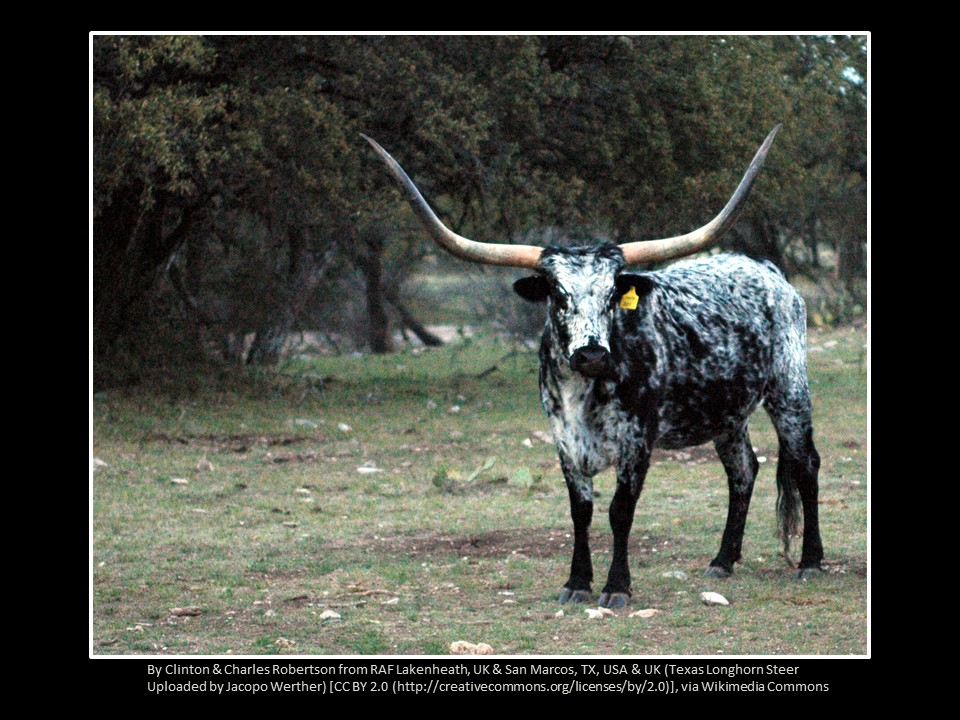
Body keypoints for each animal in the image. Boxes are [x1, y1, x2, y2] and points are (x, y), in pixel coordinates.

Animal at [363, 126, 823, 608]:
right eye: (557, 292)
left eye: (611, 294)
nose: (591, 354)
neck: (584, 391)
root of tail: (765, 267)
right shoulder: (564, 441)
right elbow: (580, 511)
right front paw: (577, 582)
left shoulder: (637, 442)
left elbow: (620, 511)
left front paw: (616, 586)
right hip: (726, 414)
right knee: (743, 471)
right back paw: (723, 560)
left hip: (789, 390)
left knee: (805, 464)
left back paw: (810, 561)